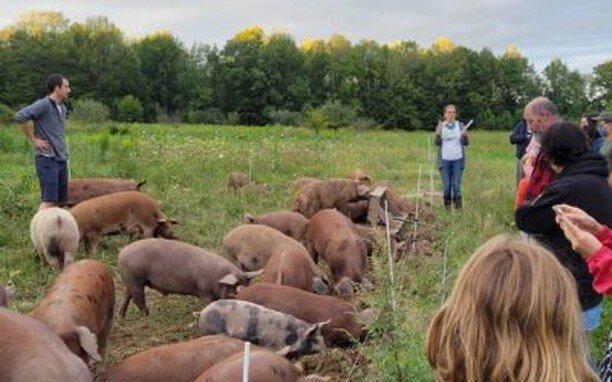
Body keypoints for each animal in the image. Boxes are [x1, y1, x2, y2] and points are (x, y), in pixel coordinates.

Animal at [116, 239, 258, 316]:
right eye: (235, 290)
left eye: (247, 286)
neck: (218, 279)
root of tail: (123, 251)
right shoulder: (204, 292)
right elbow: (207, 304)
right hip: (134, 278)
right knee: (137, 298)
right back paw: (146, 315)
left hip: (130, 280)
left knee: (127, 293)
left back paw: (122, 315)